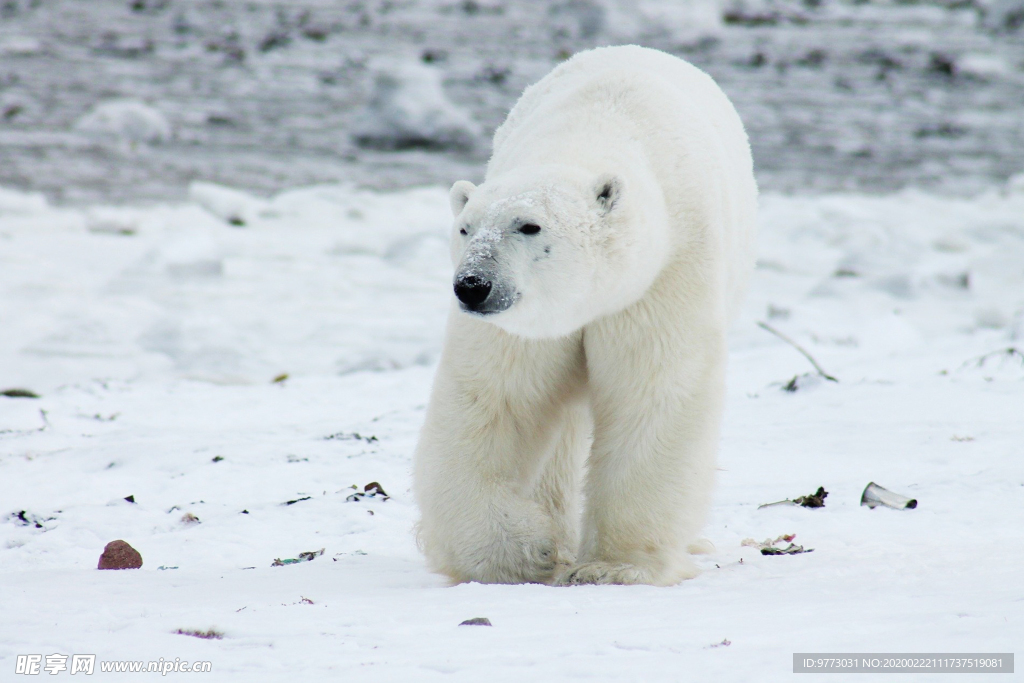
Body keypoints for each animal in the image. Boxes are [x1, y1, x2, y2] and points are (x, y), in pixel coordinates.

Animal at [411, 44, 757, 589]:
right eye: (465, 228)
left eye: (529, 226)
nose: (472, 285)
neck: (592, 132)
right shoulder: (527, 325)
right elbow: (494, 400)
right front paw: (522, 551)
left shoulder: (663, 275)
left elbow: (652, 394)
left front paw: (613, 566)